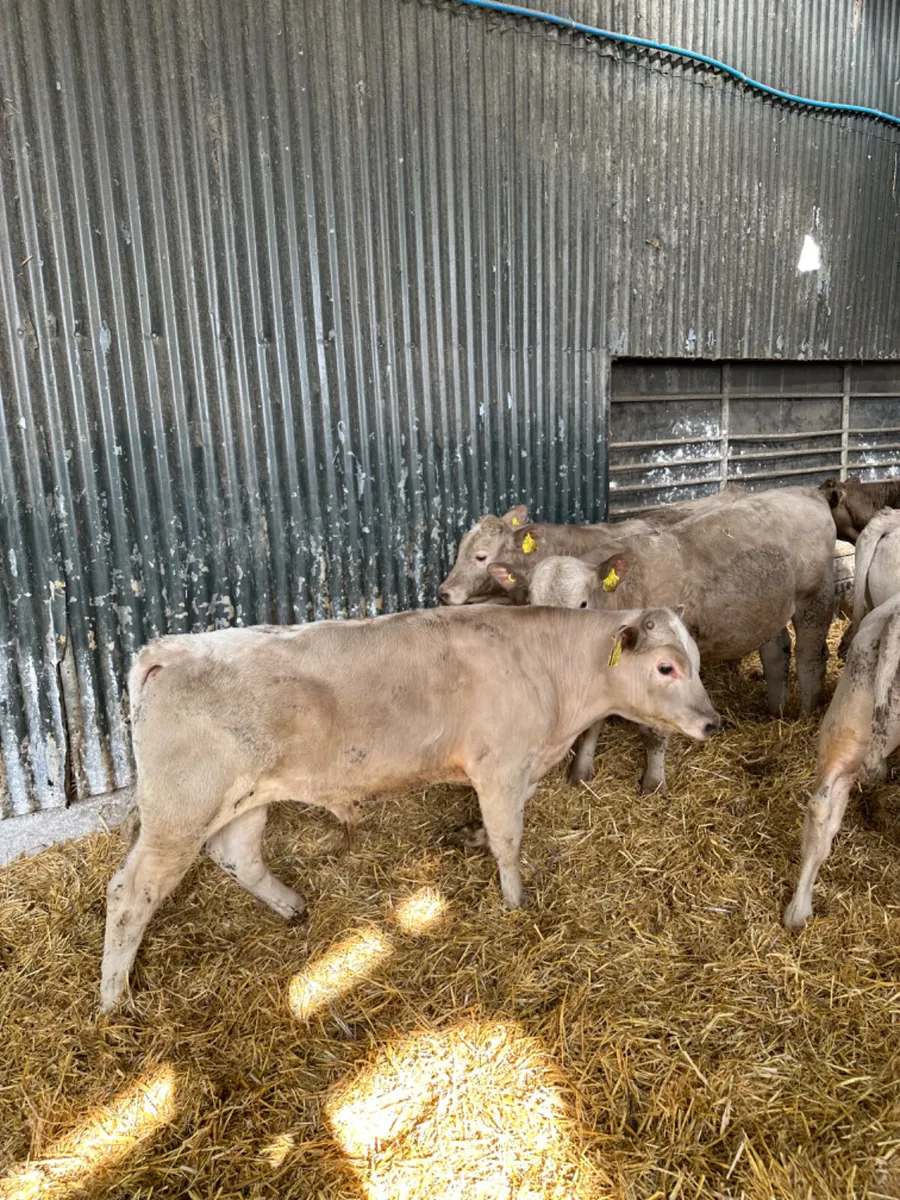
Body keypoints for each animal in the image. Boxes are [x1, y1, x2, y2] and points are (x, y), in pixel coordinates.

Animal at [100, 605, 719, 1010]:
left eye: (697, 659)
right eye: (666, 667)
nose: (713, 722)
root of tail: (170, 650)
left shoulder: (514, 770)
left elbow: (500, 823)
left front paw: (470, 837)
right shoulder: (499, 766)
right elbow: (510, 838)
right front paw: (515, 903)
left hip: (247, 797)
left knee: (237, 856)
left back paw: (291, 906)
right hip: (179, 809)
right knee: (131, 893)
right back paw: (114, 999)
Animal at [487, 488, 835, 791]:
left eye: (583, 604)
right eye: (530, 600)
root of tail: (804, 491)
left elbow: (654, 732)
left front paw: (653, 783)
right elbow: (592, 725)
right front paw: (580, 773)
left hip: (814, 599)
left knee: (809, 657)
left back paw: (806, 716)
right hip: (768, 609)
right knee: (777, 653)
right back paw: (775, 711)